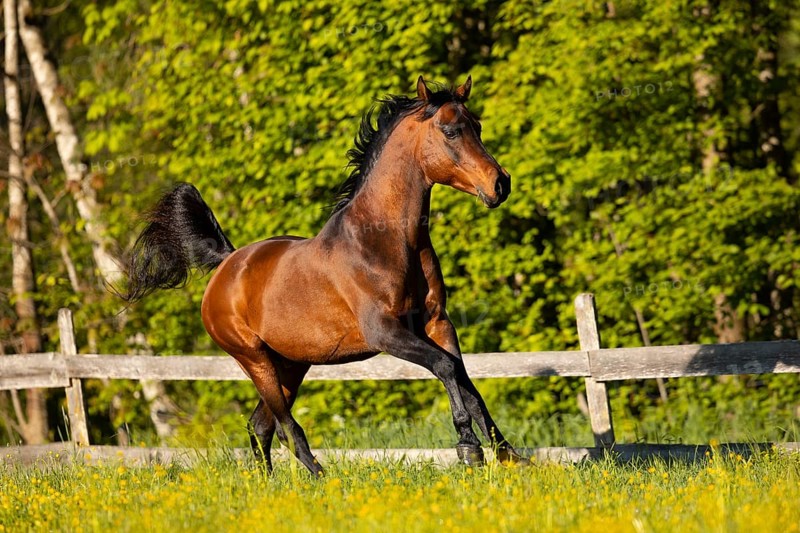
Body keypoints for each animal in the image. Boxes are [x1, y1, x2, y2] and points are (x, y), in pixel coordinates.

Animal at [122, 76, 525, 475]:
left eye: (477, 126)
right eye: (451, 130)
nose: (500, 184)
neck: (385, 240)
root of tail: (227, 265)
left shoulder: (437, 322)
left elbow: (466, 381)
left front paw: (508, 455)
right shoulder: (384, 332)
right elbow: (445, 367)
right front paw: (468, 448)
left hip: (291, 364)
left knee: (259, 426)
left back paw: (268, 483)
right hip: (254, 359)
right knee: (286, 427)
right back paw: (321, 478)